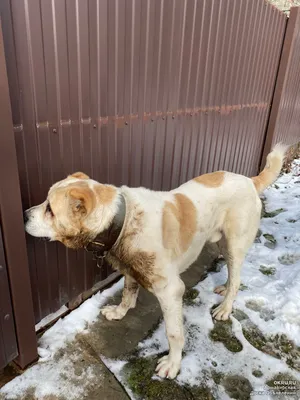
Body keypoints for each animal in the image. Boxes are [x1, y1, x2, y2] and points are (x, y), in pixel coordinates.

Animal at [24, 144, 286, 378]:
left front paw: (173, 364)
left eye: (50, 209)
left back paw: (225, 308)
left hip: (234, 246)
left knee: (237, 278)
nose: (24, 215)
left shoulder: (171, 291)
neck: (123, 220)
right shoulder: (130, 269)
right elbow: (127, 294)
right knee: (232, 275)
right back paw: (223, 289)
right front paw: (119, 313)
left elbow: (174, 333)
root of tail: (250, 180)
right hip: (223, 243)